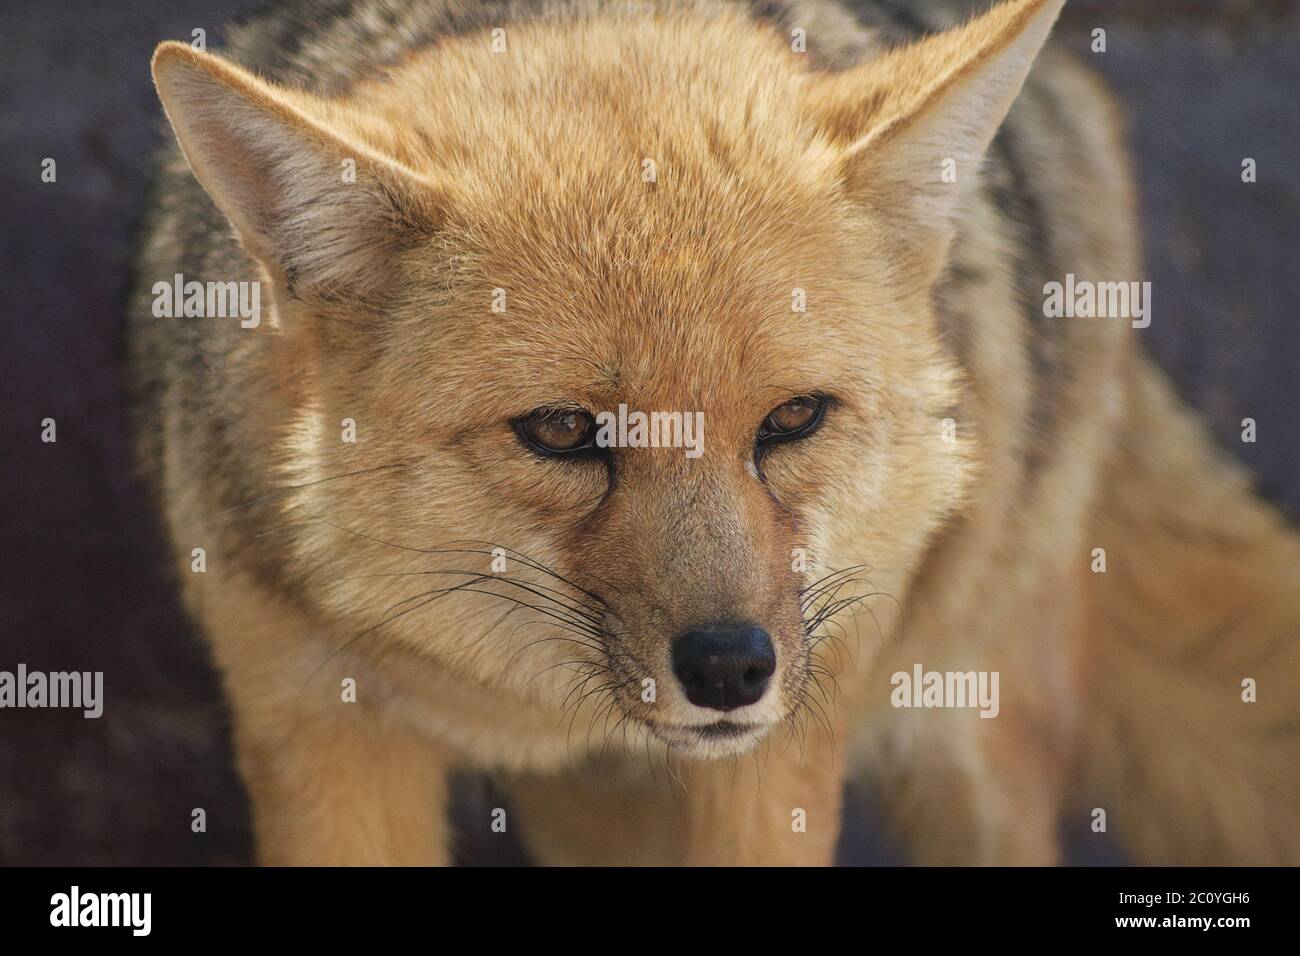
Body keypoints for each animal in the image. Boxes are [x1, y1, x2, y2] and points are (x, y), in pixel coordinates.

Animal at [129, 0, 1300, 868]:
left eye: (793, 419)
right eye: (563, 430)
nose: (732, 669)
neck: (544, 717)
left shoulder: (777, 764)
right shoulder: (321, 733)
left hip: (973, 730)